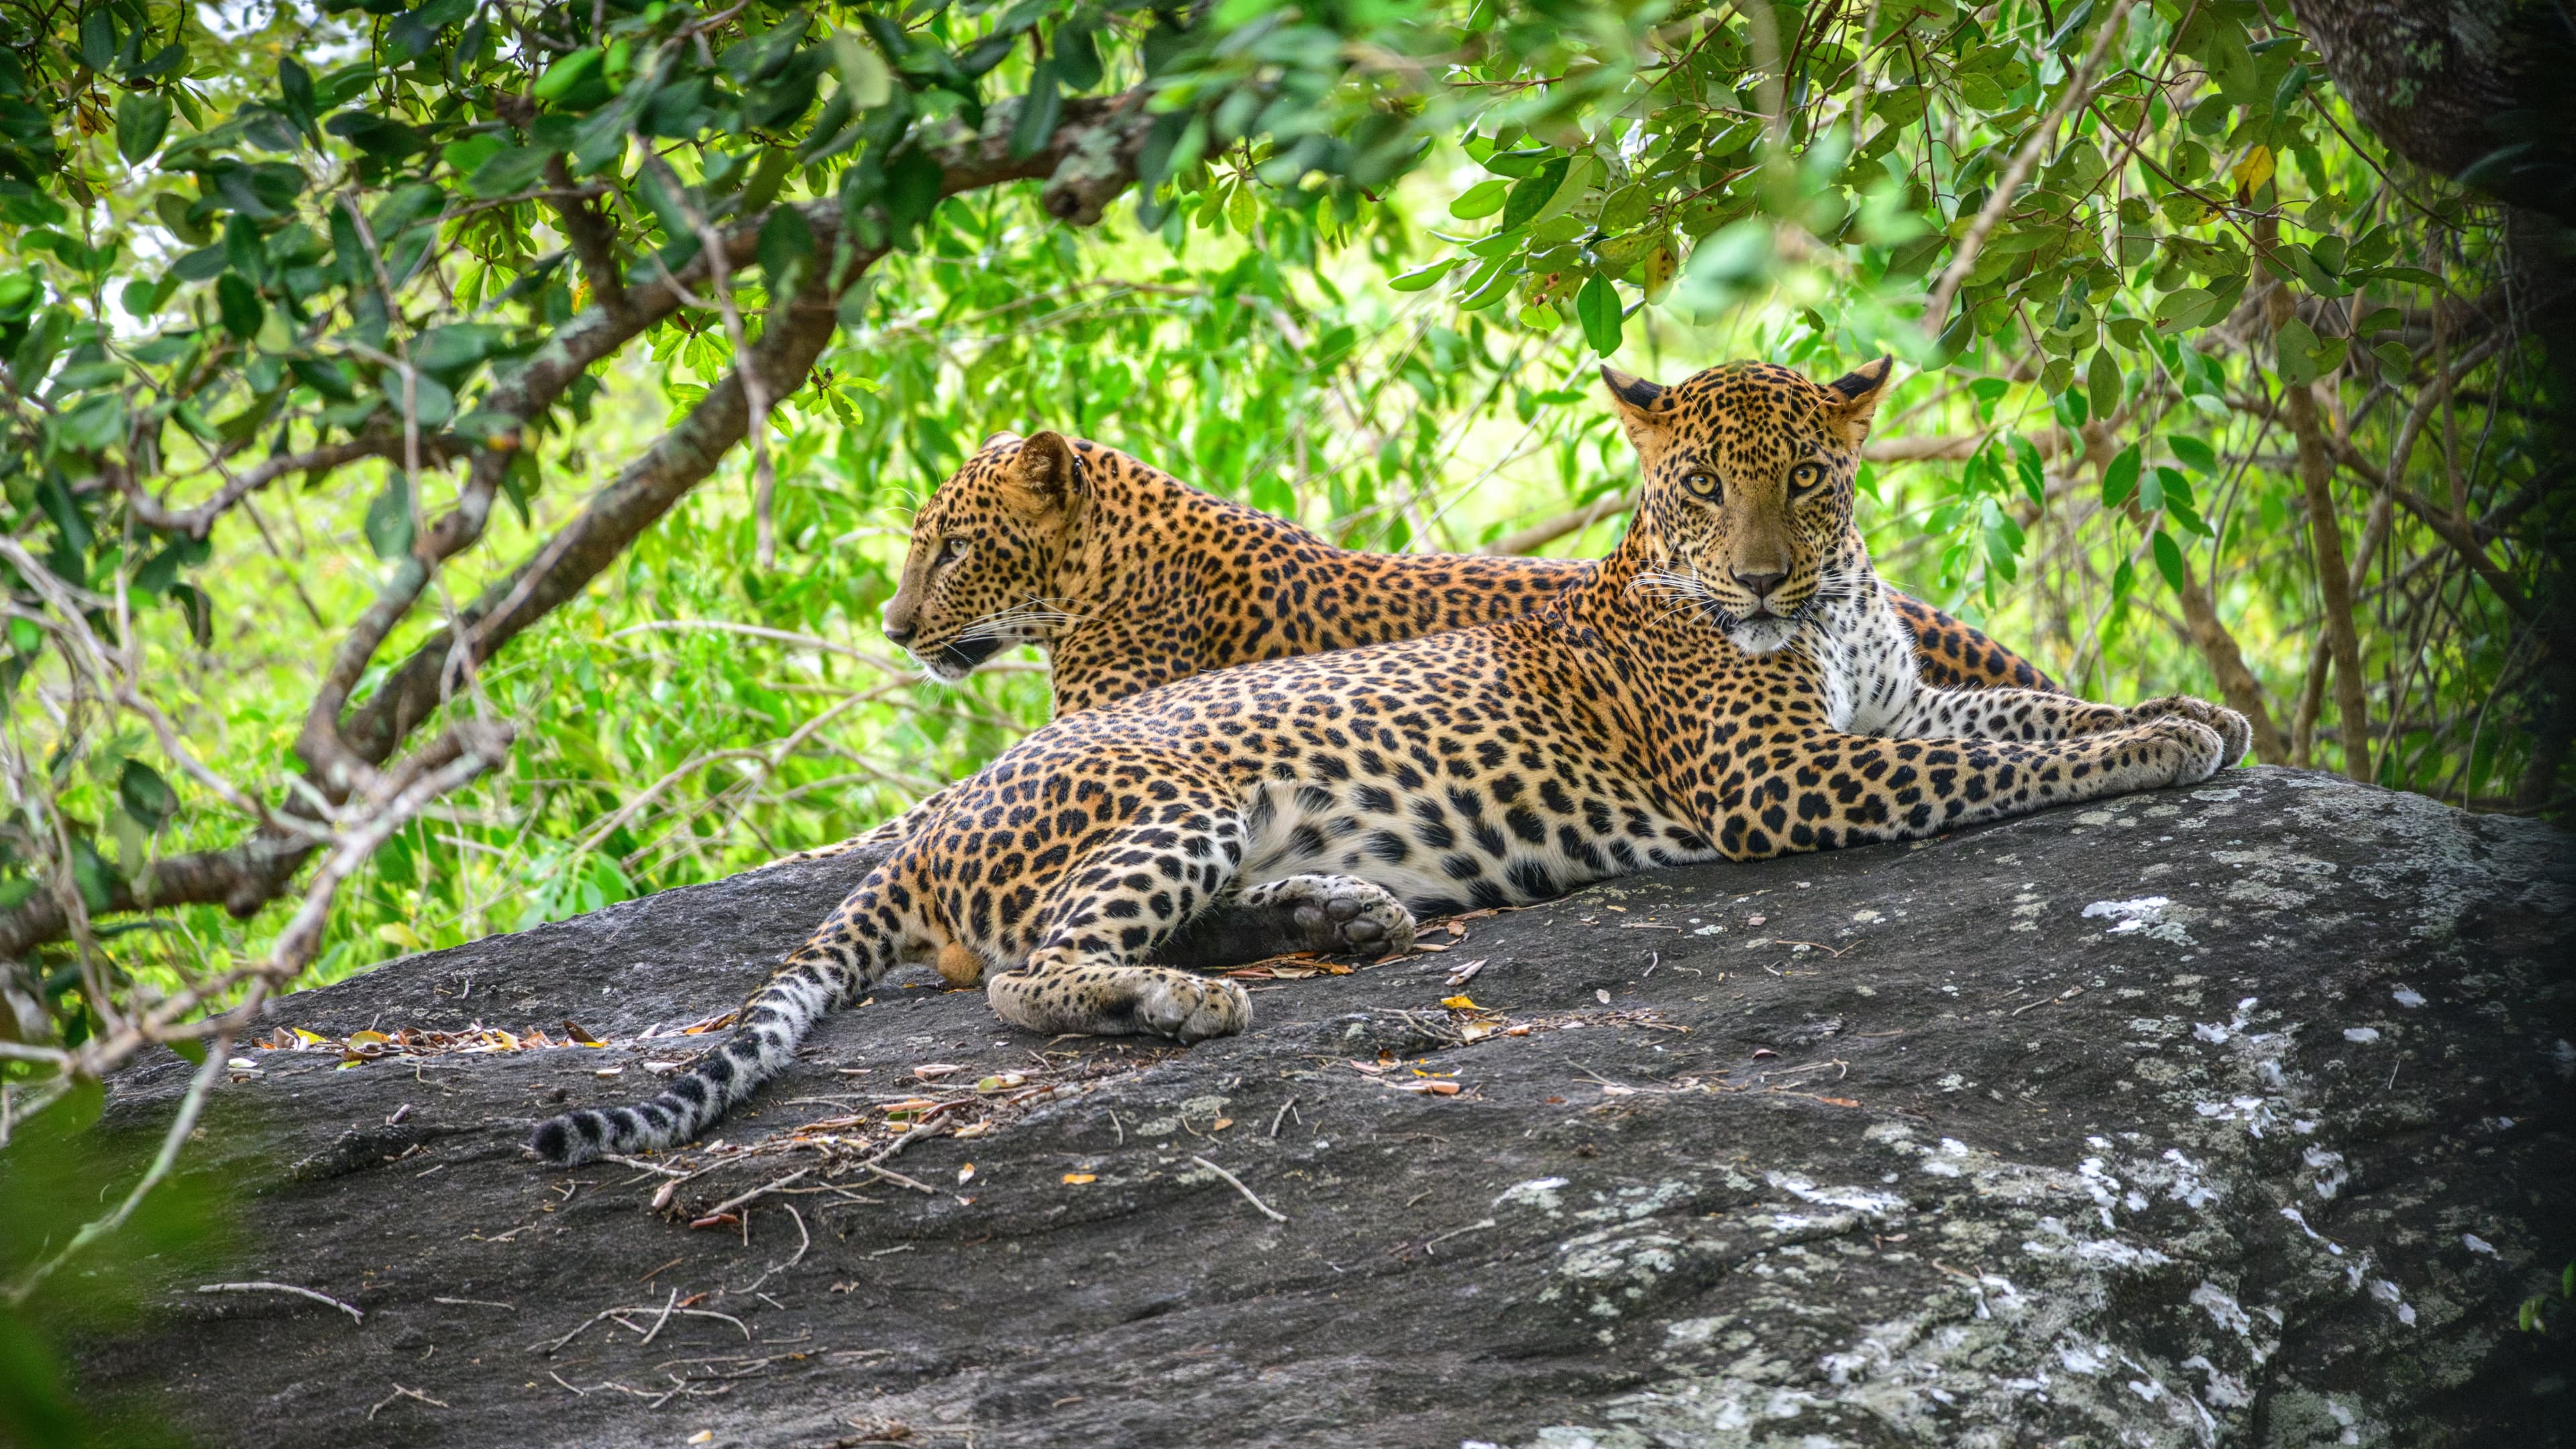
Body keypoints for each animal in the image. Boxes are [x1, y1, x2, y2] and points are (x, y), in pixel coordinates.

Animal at [531, 356, 2248, 1166]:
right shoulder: (1786, 777)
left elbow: (2020, 722)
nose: (894, 624)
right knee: (1027, 972)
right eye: (1701, 486)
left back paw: (1340, 914)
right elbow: (2000, 771)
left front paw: (2183, 713)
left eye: (1810, 480)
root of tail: (925, 827)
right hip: (1177, 802)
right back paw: (1184, 1001)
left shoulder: (1886, 716)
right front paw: (2165, 738)